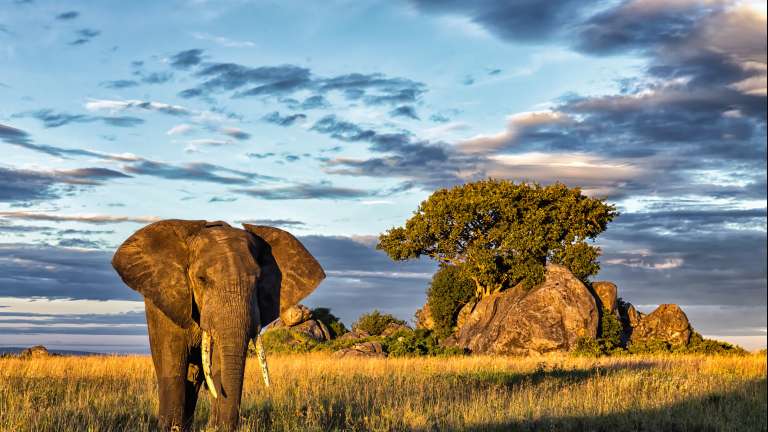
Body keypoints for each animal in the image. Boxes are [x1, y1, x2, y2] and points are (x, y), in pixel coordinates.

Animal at [111, 219, 325, 431]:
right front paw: (171, 428)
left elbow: (219, 362)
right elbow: (173, 364)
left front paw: (213, 427)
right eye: (201, 279)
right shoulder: (170, 303)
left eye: (258, 280)